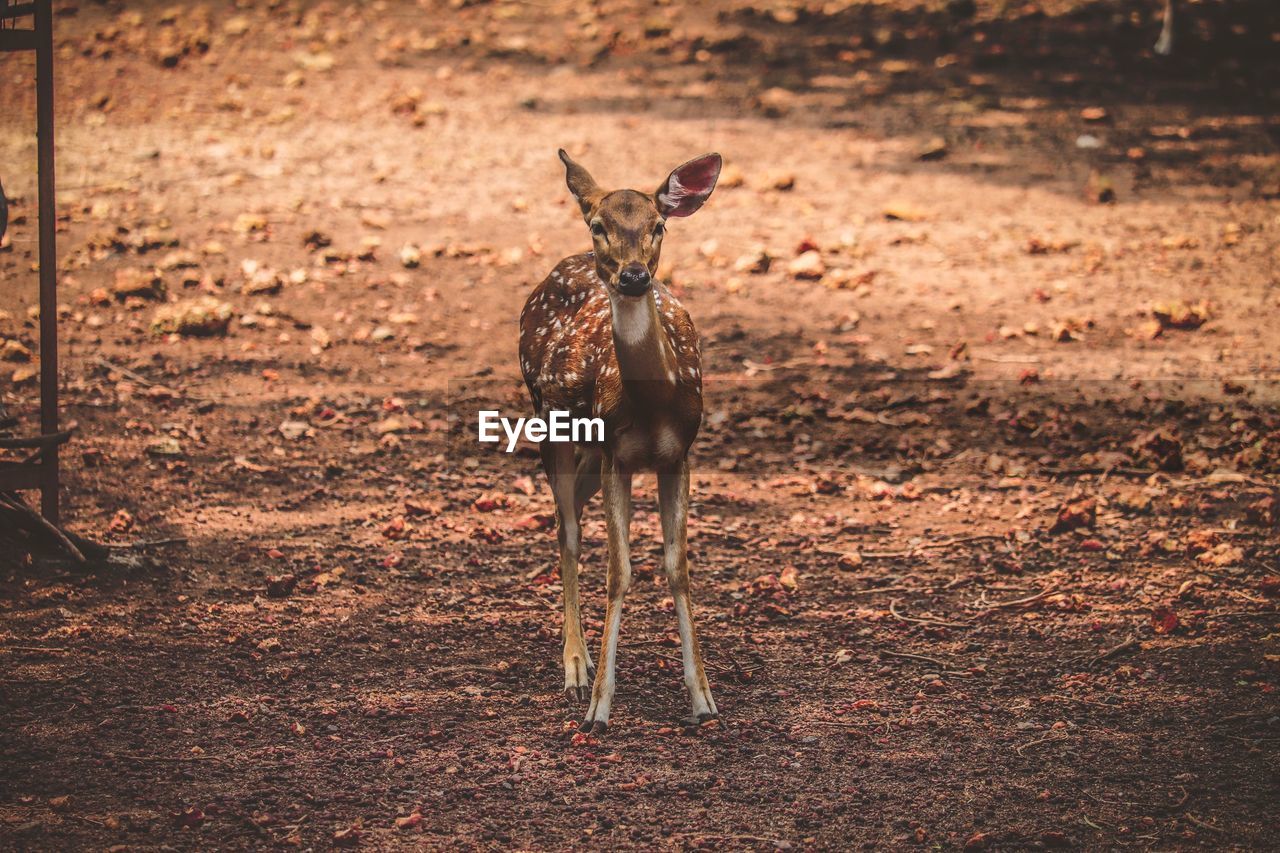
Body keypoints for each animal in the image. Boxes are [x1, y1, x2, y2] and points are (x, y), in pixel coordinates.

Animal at [517, 146, 721, 732]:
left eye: (658, 225)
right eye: (598, 225)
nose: (633, 275)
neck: (653, 408)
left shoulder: (679, 456)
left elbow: (677, 568)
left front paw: (703, 699)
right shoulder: (617, 457)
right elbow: (619, 571)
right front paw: (599, 707)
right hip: (552, 422)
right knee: (567, 531)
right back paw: (575, 665)